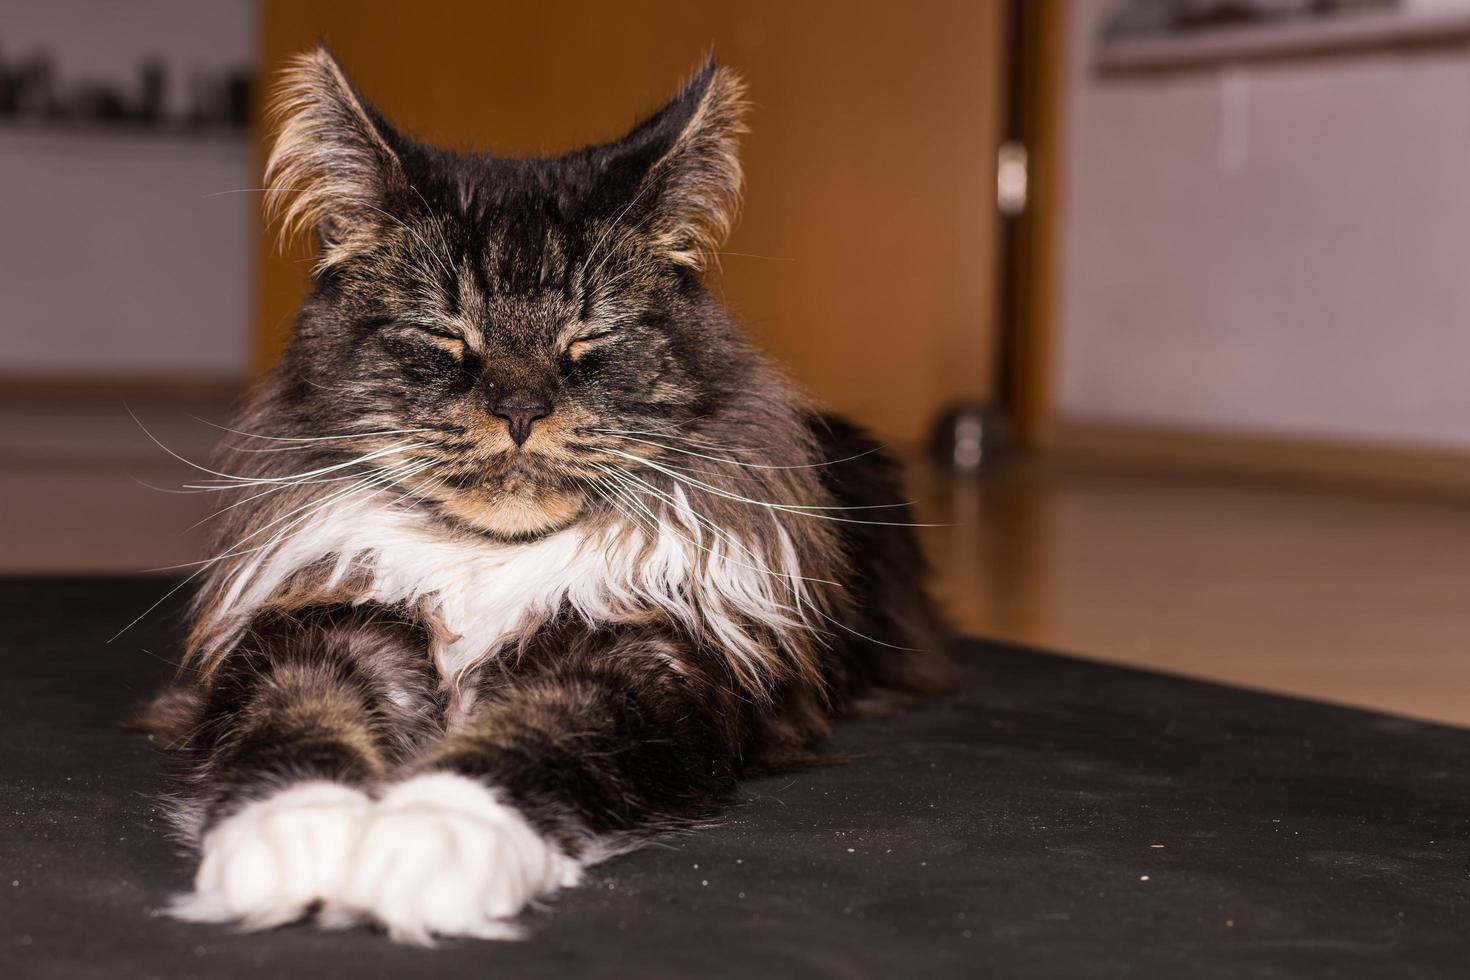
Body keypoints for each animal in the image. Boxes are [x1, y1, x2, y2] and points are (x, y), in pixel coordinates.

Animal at [143, 49, 946, 946]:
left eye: (589, 342)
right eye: (444, 337)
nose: (521, 410)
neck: (486, 565)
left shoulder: (648, 657)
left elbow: (526, 744)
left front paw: (421, 849)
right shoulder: (322, 620)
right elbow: (296, 722)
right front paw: (292, 844)